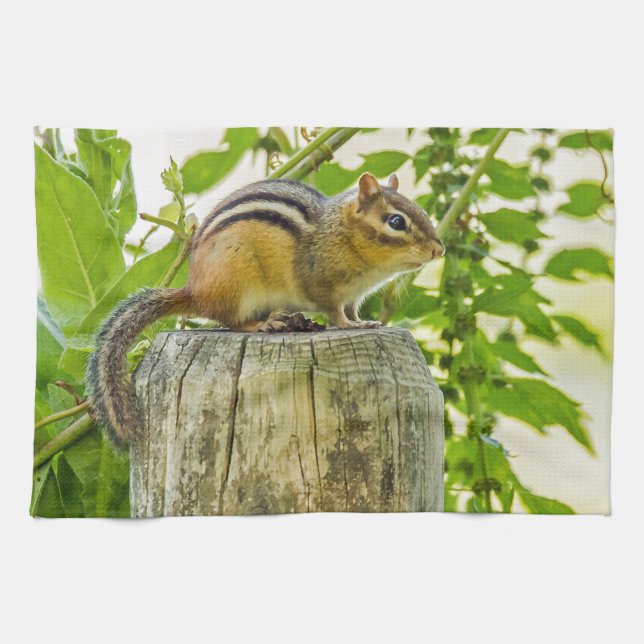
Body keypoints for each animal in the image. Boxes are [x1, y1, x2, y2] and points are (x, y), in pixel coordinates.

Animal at [87, 172, 445, 446]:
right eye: (396, 221)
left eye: (420, 211)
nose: (439, 250)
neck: (343, 235)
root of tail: (195, 290)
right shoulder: (323, 286)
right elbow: (335, 313)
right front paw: (350, 326)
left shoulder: (354, 296)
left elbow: (353, 310)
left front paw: (366, 323)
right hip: (238, 284)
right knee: (229, 320)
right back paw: (264, 324)